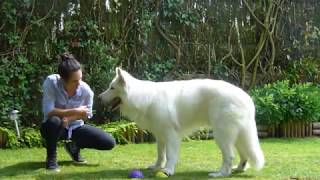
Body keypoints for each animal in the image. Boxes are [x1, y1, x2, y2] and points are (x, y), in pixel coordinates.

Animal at [99, 67, 264, 177]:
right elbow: (160, 155)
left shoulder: (171, 135)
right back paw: (239, 169)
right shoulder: (160, 136)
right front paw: (156, 167)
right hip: (237, 135)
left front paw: (168, 170)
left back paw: (221, 174)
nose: (99, 98)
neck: (143, 98)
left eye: (112, 88)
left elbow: (170, 155)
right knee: (244, 154)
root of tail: (246, 97)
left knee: (229, 156)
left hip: (221, 135)